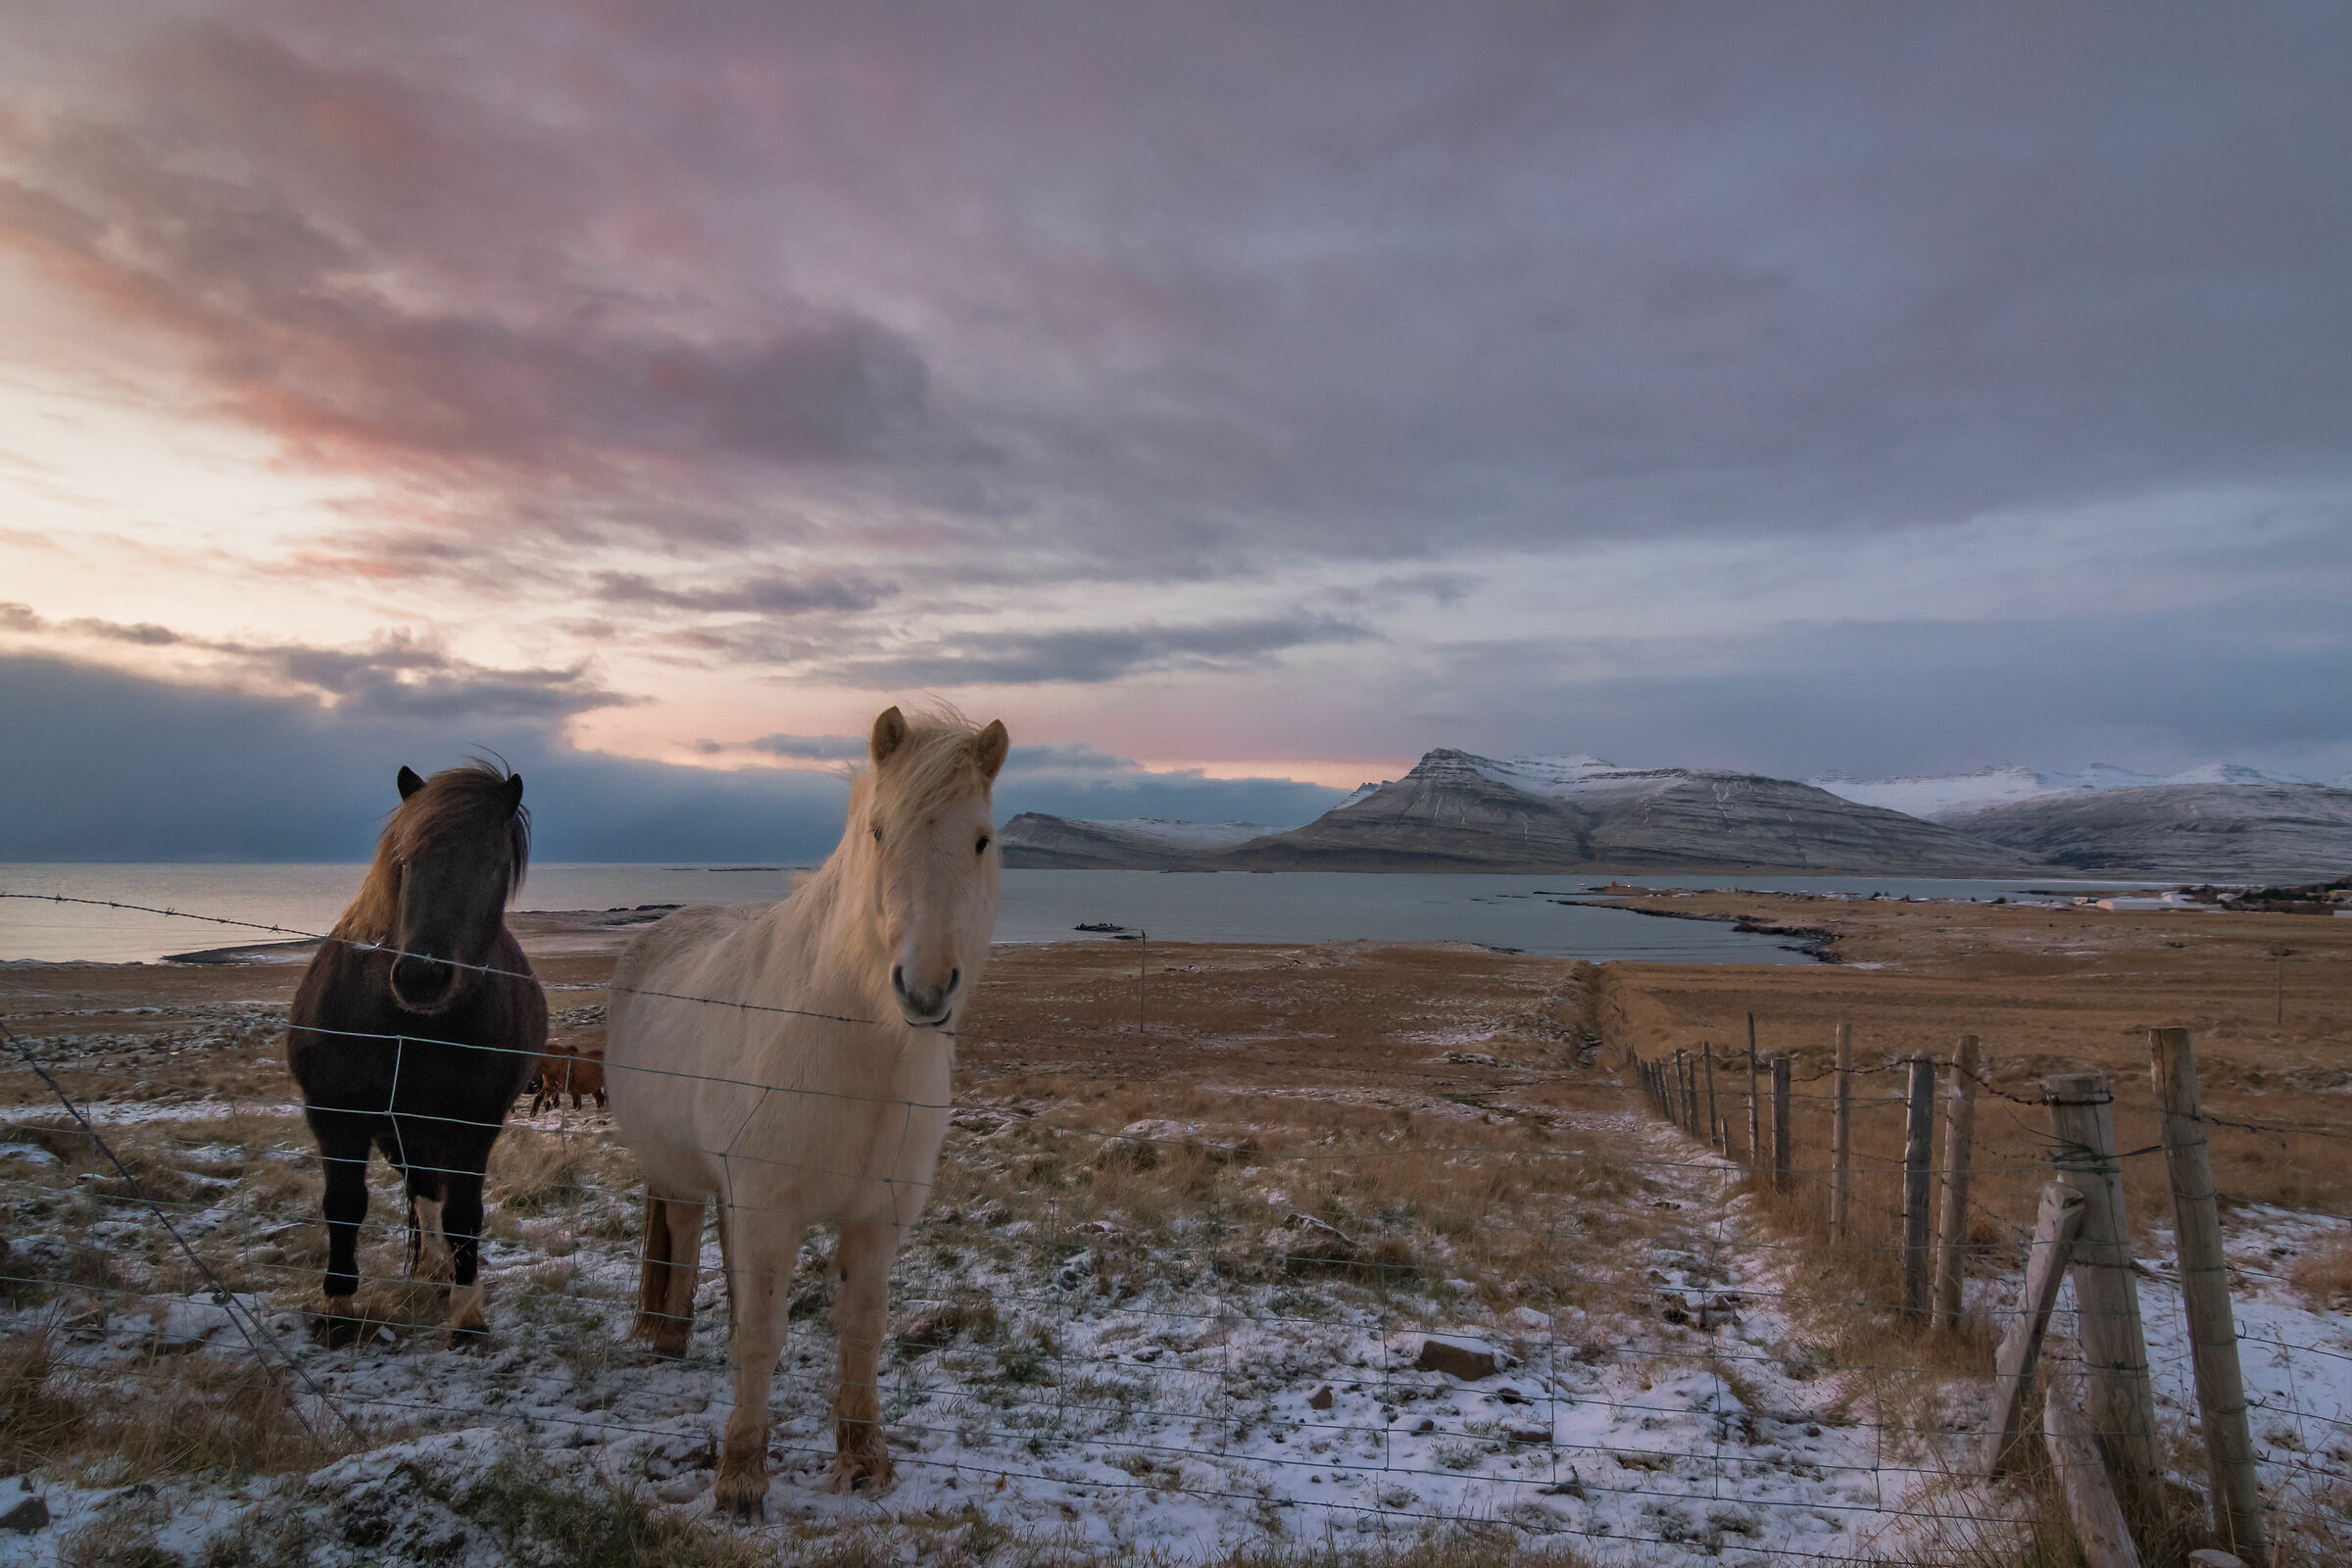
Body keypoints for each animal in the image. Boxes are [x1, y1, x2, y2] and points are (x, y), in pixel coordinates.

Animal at [286, 761, 547, 1347]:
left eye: (493, 866)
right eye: (404, 860)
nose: (422, 977)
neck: (411, 1029)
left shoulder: (475, 1125)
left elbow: (464, 1216)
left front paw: (467, 1316)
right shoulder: (335, 1116)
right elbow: (344, 1207)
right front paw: (337, 1310)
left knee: (431, 1193)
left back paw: (442, 1273)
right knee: (420, 1187)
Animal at [606, 705, 1007, 1516]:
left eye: (981, 839)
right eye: (879, 831)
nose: (924, 990)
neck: (859, 1052)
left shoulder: (876, 1220)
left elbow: (862, 1333)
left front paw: (863, 1463)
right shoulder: (768, 1209)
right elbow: (763, 1333)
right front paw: (739, 1479)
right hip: (681, 1176)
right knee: (684, 1231)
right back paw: (666, 1338)